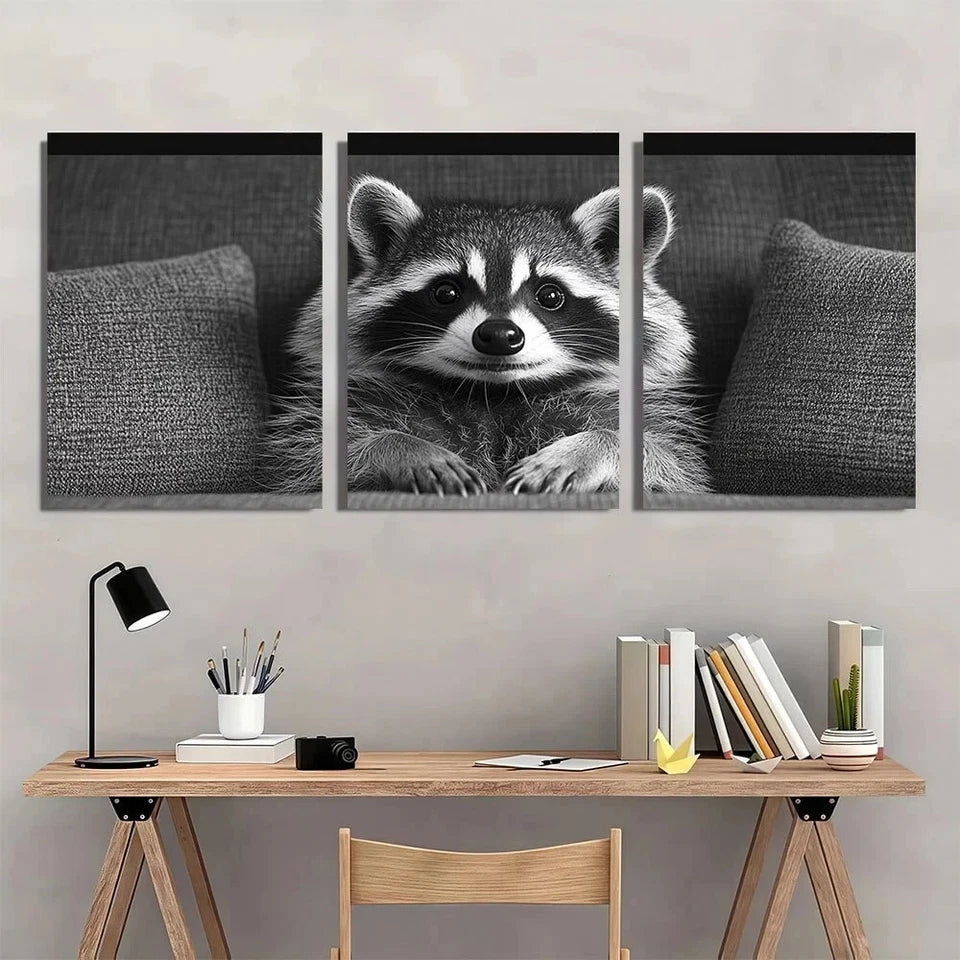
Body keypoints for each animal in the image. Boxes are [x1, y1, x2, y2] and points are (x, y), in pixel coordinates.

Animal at [337, 176, 620, 495]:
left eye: (550, 295)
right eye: (446, 293)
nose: (499, 335)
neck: (493, 394)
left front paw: (585, 449)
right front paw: (404, 447)